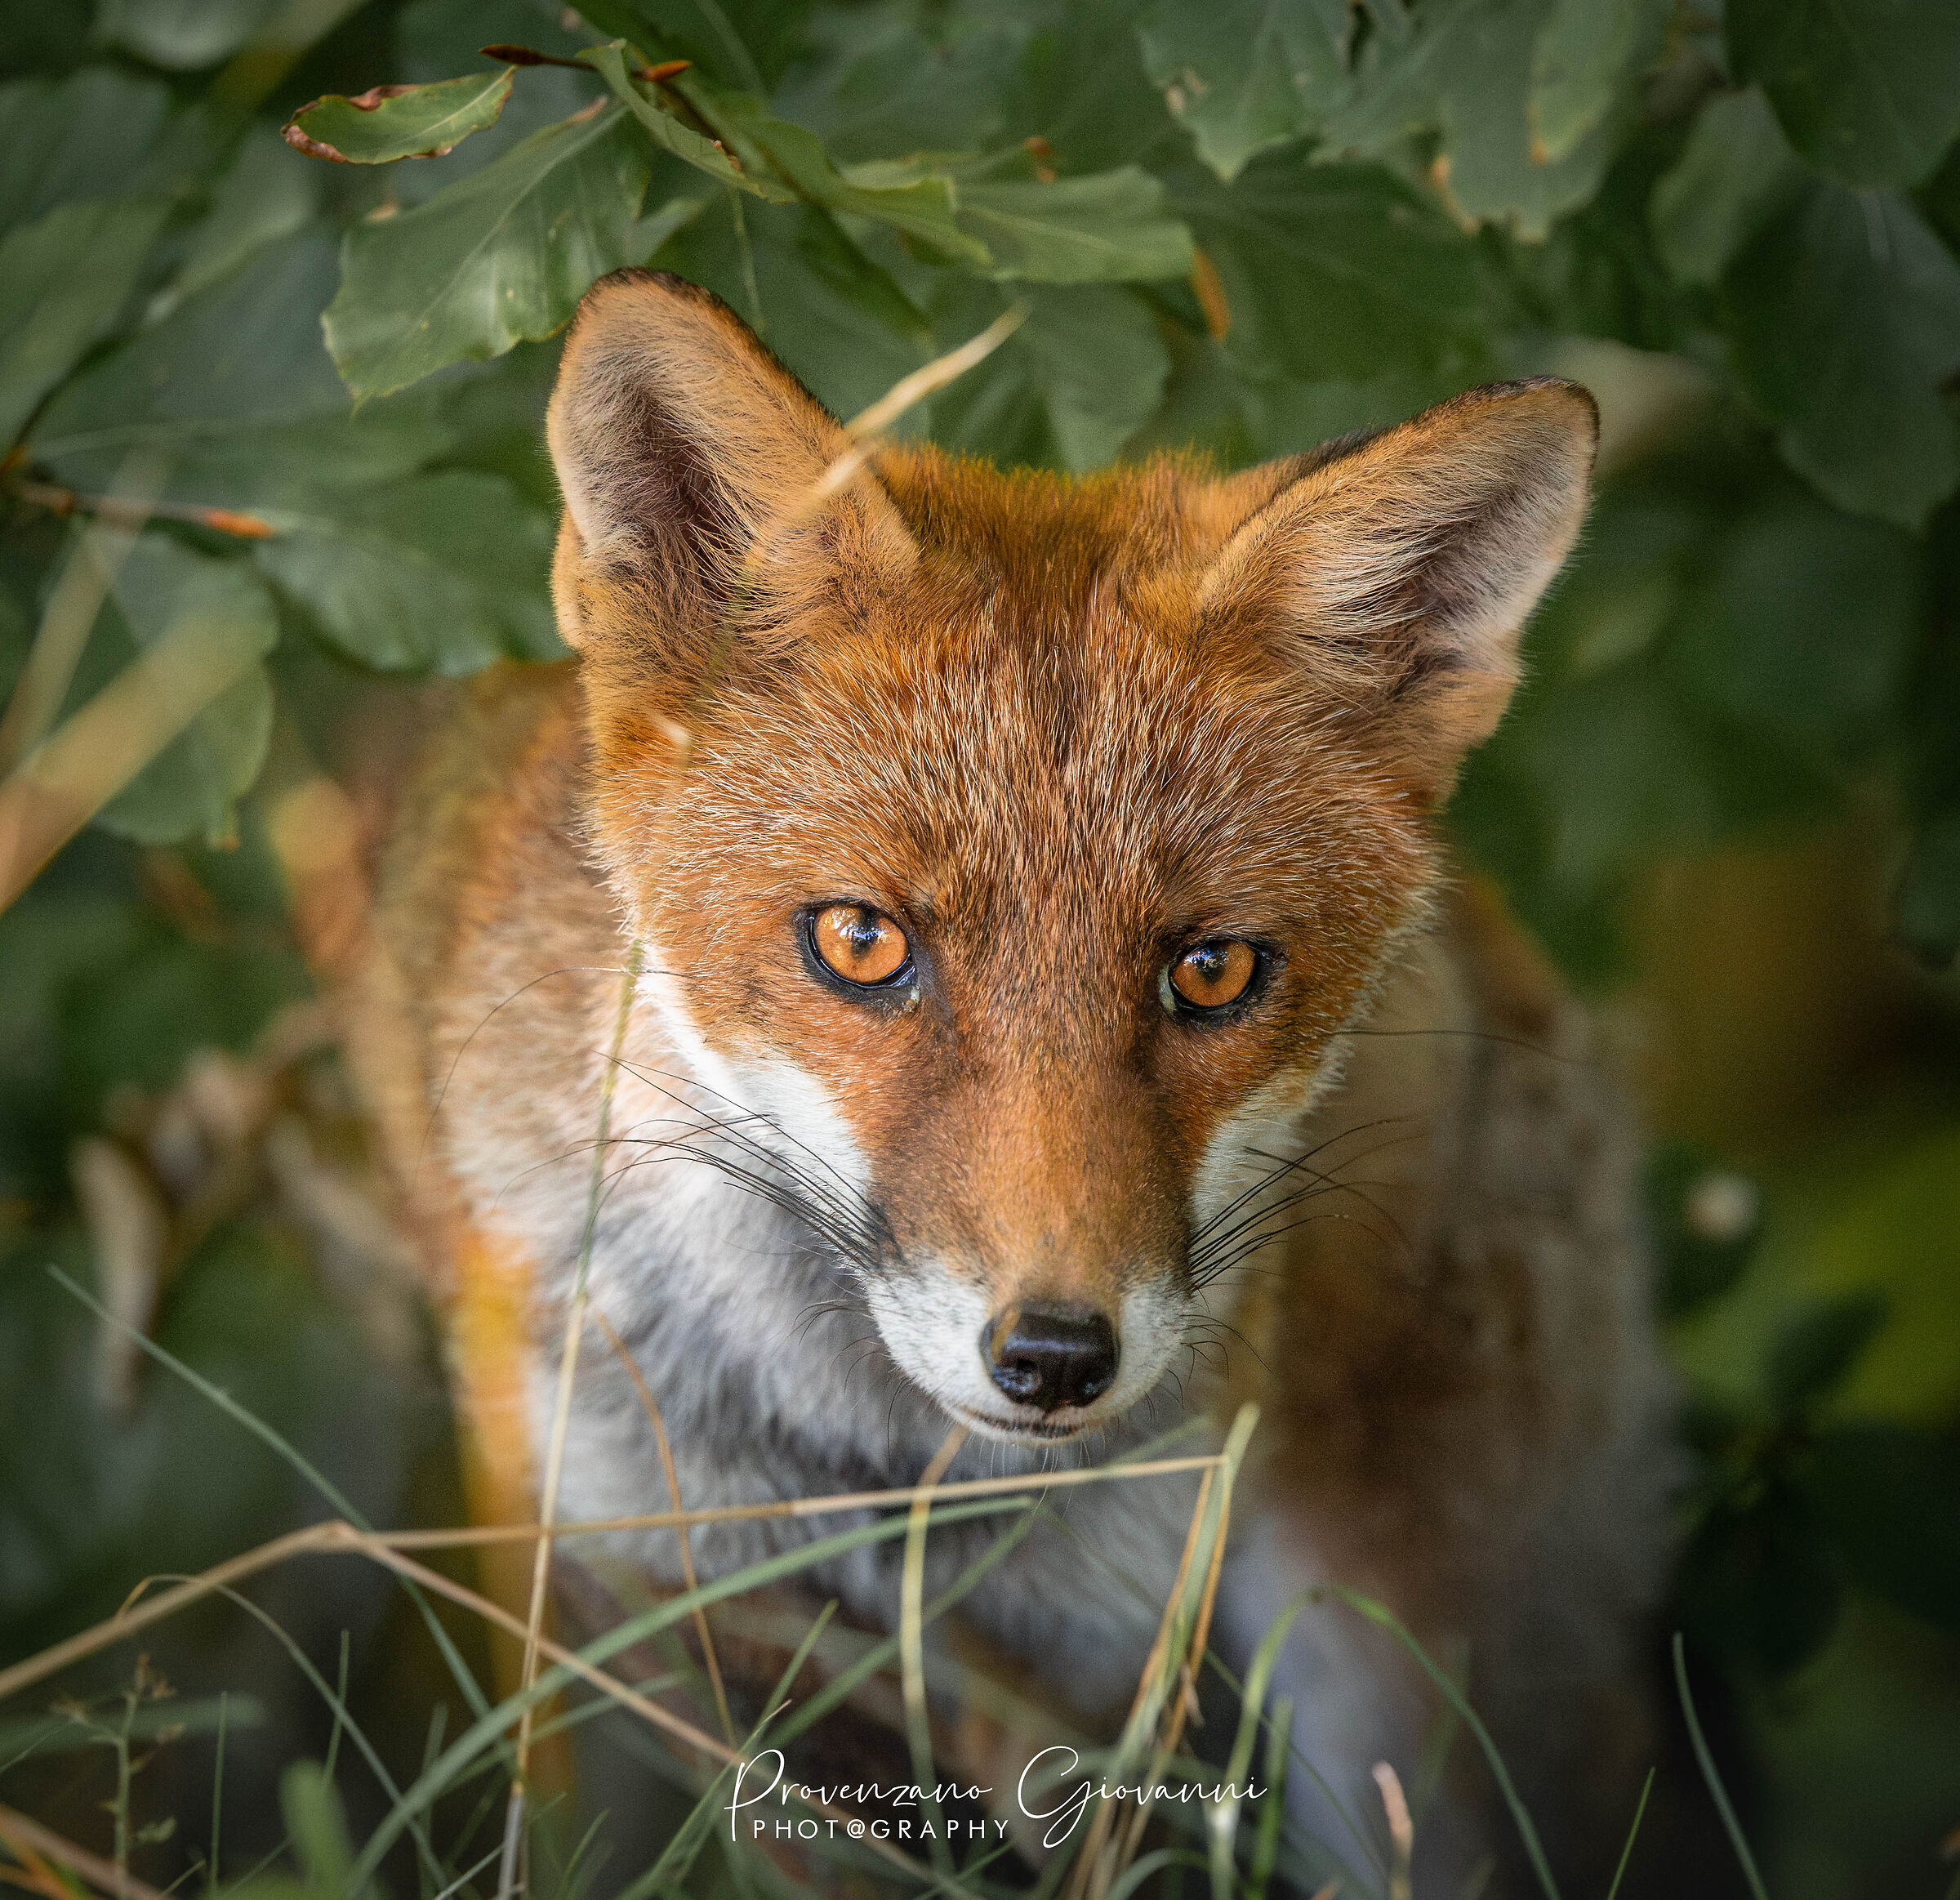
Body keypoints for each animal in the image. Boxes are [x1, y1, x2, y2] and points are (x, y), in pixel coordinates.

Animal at [350, 270, 1675, 1892]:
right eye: (863, 941)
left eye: (1212, 970)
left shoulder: (1096, 1658)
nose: (1054, 1357)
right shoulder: (683, 1607)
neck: (870, 1468)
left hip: (1393, 1667)